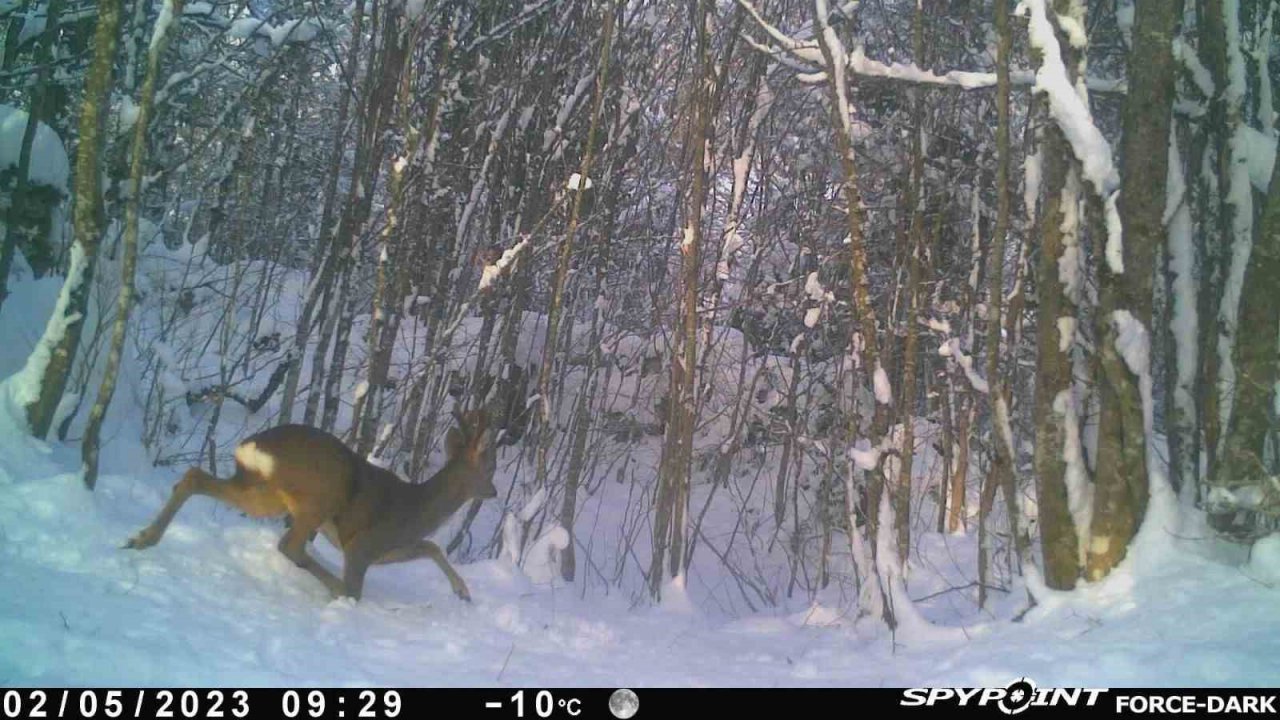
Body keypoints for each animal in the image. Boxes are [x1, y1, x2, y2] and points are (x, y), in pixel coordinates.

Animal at [123, 409, 494, 599]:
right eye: (488, 468)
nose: (492, 491)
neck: (418, 510)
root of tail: (254, 446)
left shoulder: (388, 549)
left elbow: (432, 546)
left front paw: (463, 591)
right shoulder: (362, 546)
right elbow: (358, 586)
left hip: (265, 494)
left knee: (193, 477)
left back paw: (141, 539)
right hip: (319, 496)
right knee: (290, 544)